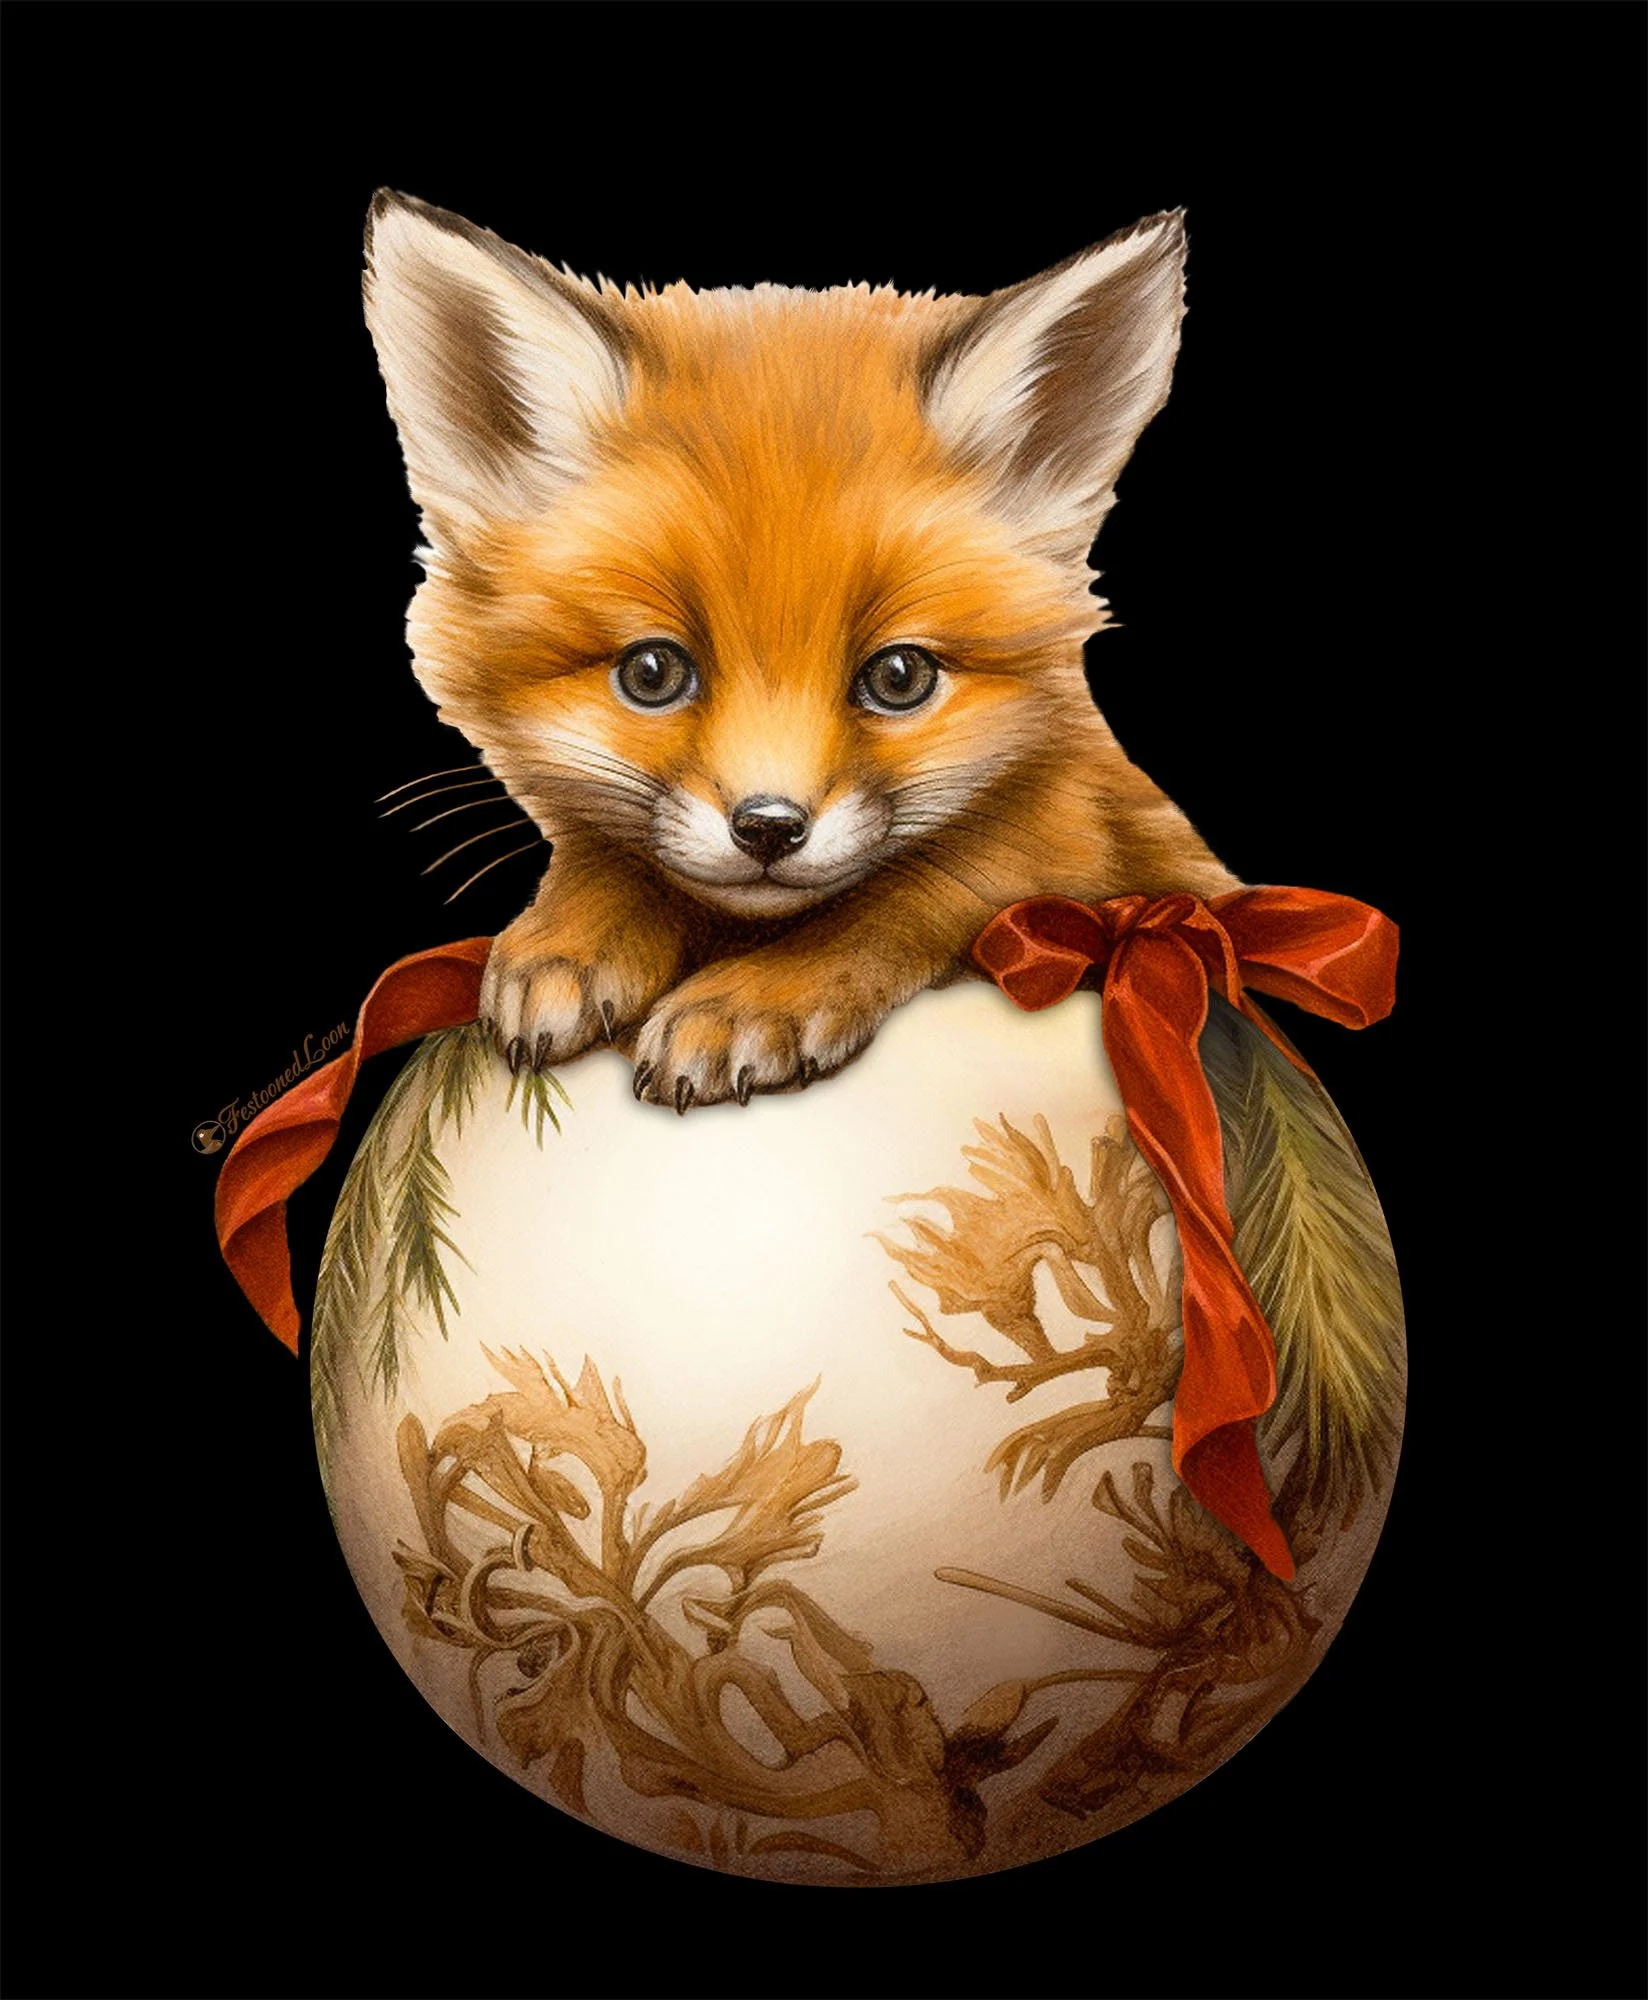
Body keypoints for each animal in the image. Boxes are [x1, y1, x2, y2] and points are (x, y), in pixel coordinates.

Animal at [362, 191, 1240, 1112]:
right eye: (651, 673)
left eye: (899, 677)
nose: (769, 828)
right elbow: (609, 855)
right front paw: (572, 935)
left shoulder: (1068, 833)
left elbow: (909, 894)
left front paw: (759, 995)